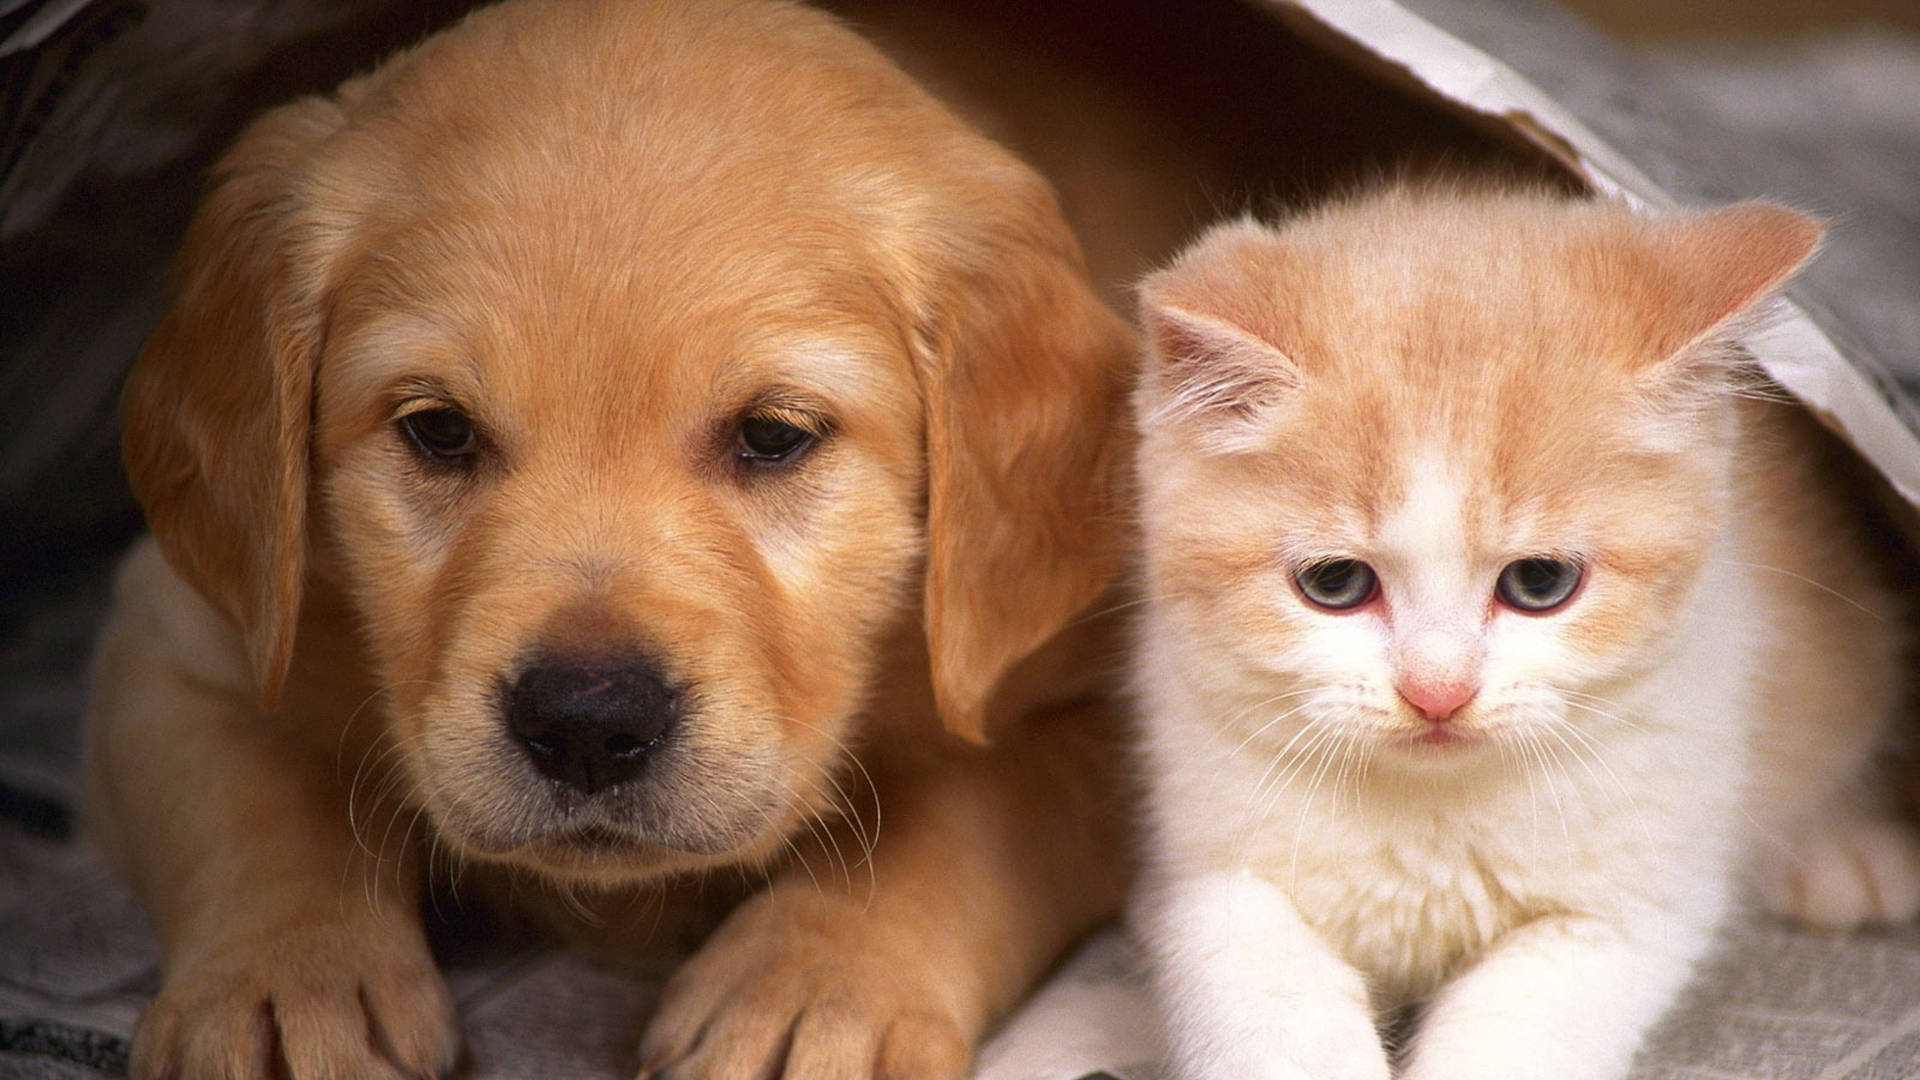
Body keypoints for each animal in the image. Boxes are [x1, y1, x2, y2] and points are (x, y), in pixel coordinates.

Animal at [90, 2, 1128, 1076]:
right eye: (439, 430)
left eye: (774, 435)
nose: (587, 724)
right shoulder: (176, 641)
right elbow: (257, 797)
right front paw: (285, 982)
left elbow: (965, 814)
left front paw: (816, 987)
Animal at [1121, 184, 1920, 1076]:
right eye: (1335, 584)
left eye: (1540, 583)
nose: (1437, 691)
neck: (1431, 811)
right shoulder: (1201, 867)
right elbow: (1258, 993)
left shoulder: (1632, 904)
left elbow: (1516, 1028)